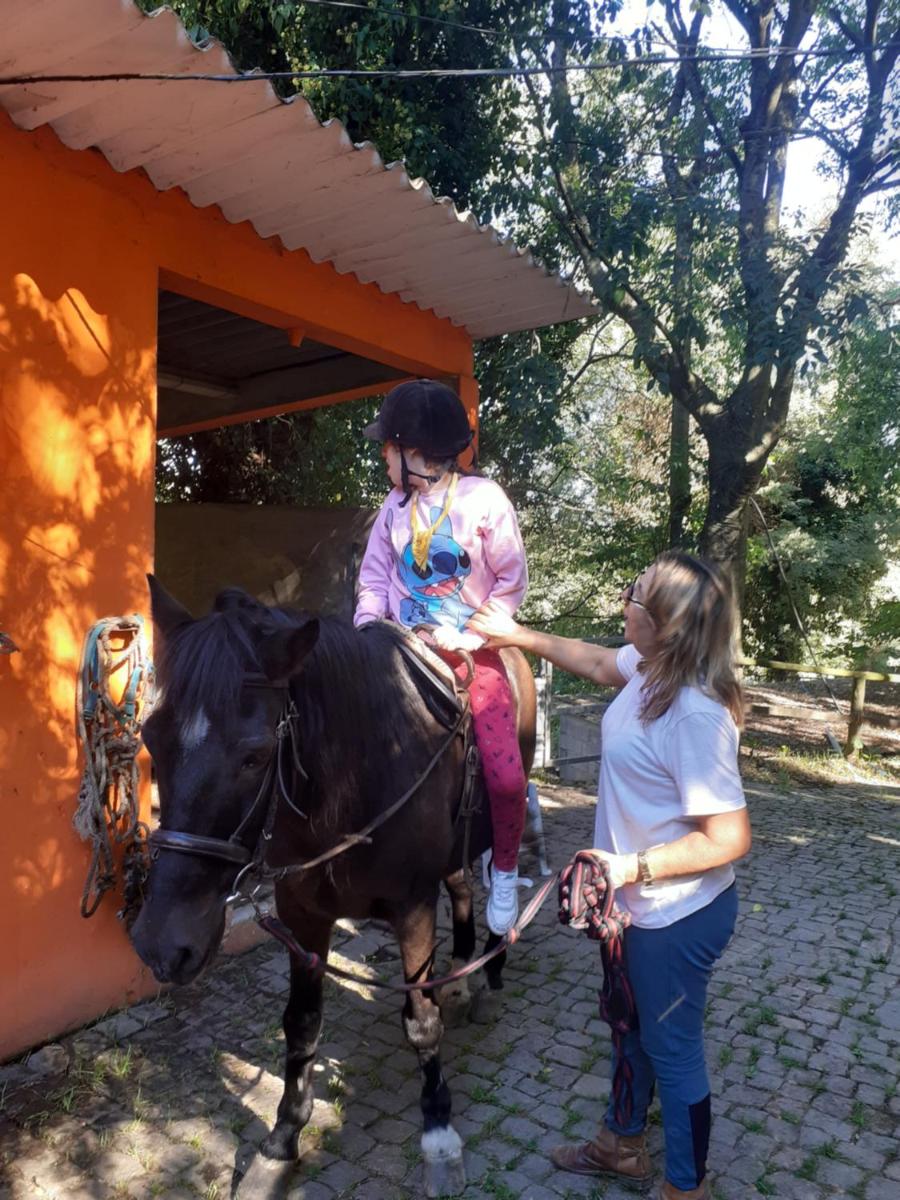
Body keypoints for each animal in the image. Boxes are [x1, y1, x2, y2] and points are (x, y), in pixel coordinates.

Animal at [130, 576, 532, 1195]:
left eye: (255, 756)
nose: (162, 944)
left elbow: (422, 1022)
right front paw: (280, 1142)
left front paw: (439, 1135)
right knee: (463, 886)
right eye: (151, 736)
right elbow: (300, 1026)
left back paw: (489, 965)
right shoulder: (303, 915)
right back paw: (462, 975)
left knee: (495, 882)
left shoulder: (413, 907)